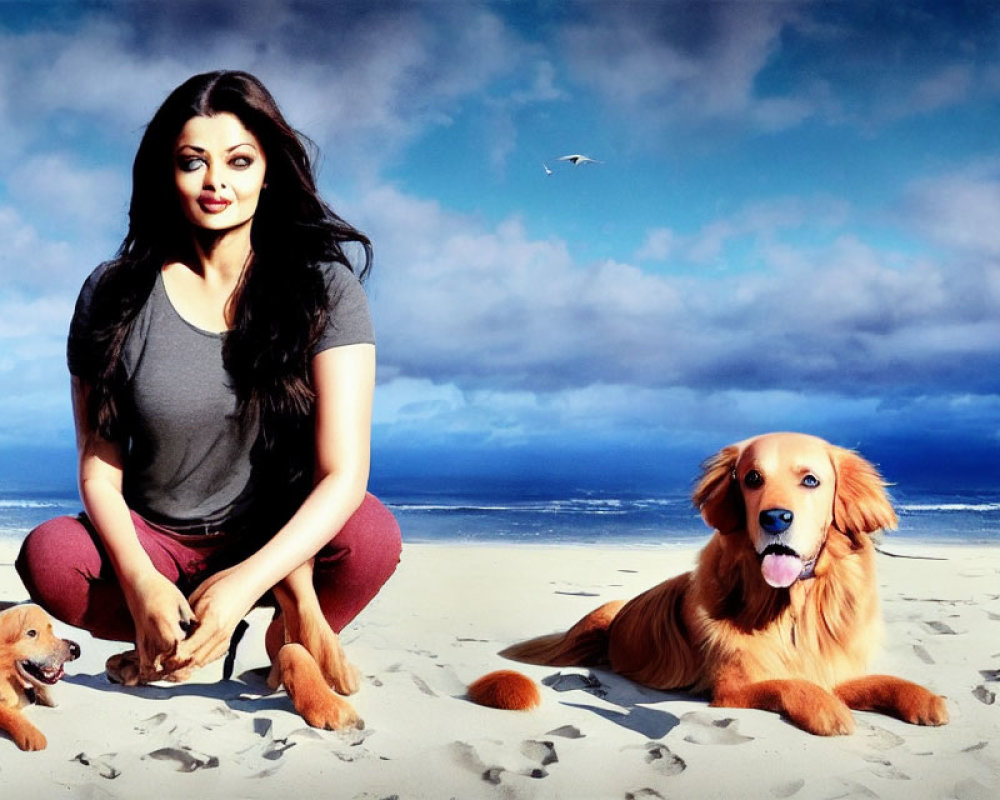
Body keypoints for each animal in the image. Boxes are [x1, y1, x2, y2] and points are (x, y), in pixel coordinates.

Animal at [496, 434, 948, 736]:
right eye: (752, 478)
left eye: (811, 481)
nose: (775, 518)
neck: (789, 608)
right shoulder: (732, 688)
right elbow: (789, 684)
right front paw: (828, 711)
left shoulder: (830, 666)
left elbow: (876, 681)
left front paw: (924, 699)